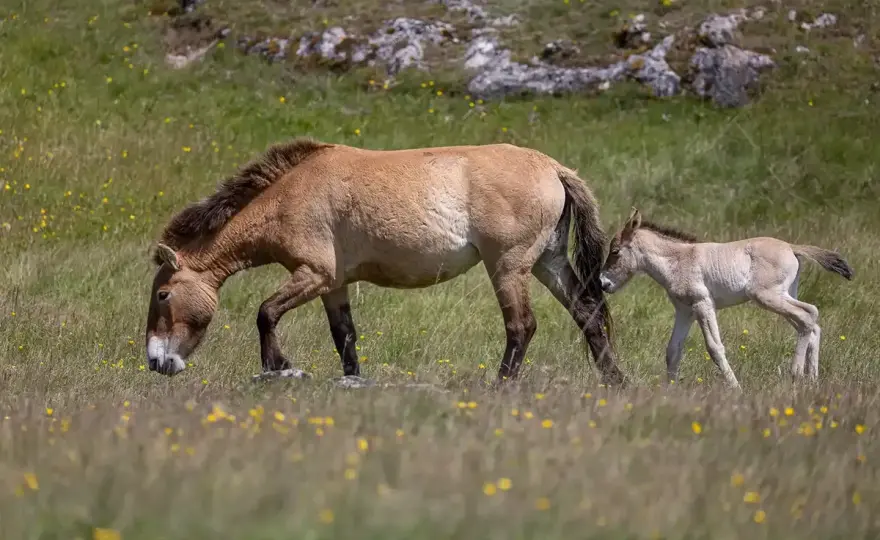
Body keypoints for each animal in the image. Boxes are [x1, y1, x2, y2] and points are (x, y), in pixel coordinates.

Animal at [144, 137, 627, 385]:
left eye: (163, 294)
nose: (155, 361)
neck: (289, 195)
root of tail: (554, 169)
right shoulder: (332, 284)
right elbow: (344, 337)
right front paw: (351, 381)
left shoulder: (313, 274)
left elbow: (265, 313)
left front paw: (277, 366)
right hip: (547, 262)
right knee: (586, 313)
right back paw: (615, 381)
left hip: (508, 267)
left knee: (522, 326)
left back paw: (501, 387)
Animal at [599, 207, 853, 388]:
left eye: (615, 252)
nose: (602, 283)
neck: (679, 259)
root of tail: (792, 247)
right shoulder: (684, 310)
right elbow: (672, 351)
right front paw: (669, 391)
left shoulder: (703, 304)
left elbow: (714, 348)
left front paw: (735, 388)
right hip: (785, 295)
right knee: (811, 323)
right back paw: (812, 381)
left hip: (767, 296)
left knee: (808, 314)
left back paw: (796, 375)